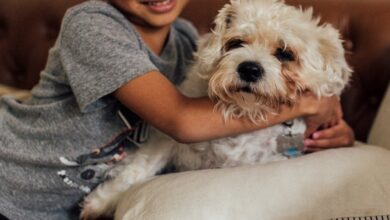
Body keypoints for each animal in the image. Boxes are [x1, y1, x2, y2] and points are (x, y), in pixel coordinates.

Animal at [80, 0, 352, 218]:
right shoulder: (166, 140)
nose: (249, 69)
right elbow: (137, 170)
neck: (240, 111)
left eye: (285, 53)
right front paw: (100, 202)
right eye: (236, 43)